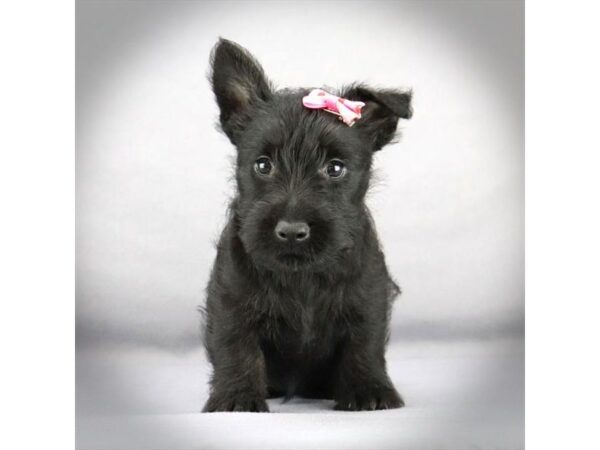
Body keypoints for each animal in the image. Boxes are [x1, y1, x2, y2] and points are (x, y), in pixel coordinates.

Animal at [202, 38, 412, 412]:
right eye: (263, 165)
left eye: (335, 168)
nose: (291, 232)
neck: (303, 275)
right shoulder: (231, 300)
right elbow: (236, 346)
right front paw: (236, 397)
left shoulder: (368, 298)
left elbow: (365, 344)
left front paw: (369, 390)